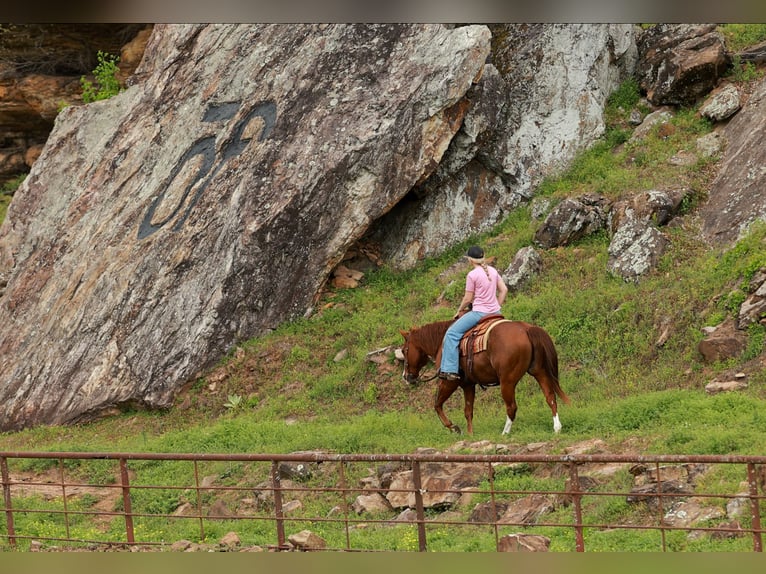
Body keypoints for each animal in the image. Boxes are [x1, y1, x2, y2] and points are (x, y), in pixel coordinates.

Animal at [399, 317, 570, 435]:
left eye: (404, 350)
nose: (406, 377)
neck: (442, 341)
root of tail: (526, 329)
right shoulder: (468, 385)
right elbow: (468, 411)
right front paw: (470, 434)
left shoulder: (449, 381)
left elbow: (437, 405)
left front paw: (454, 428)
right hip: (539, 372)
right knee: (550, 397)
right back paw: (557, 428)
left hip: (507, 381)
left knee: (512, 407)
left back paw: (504, 433)